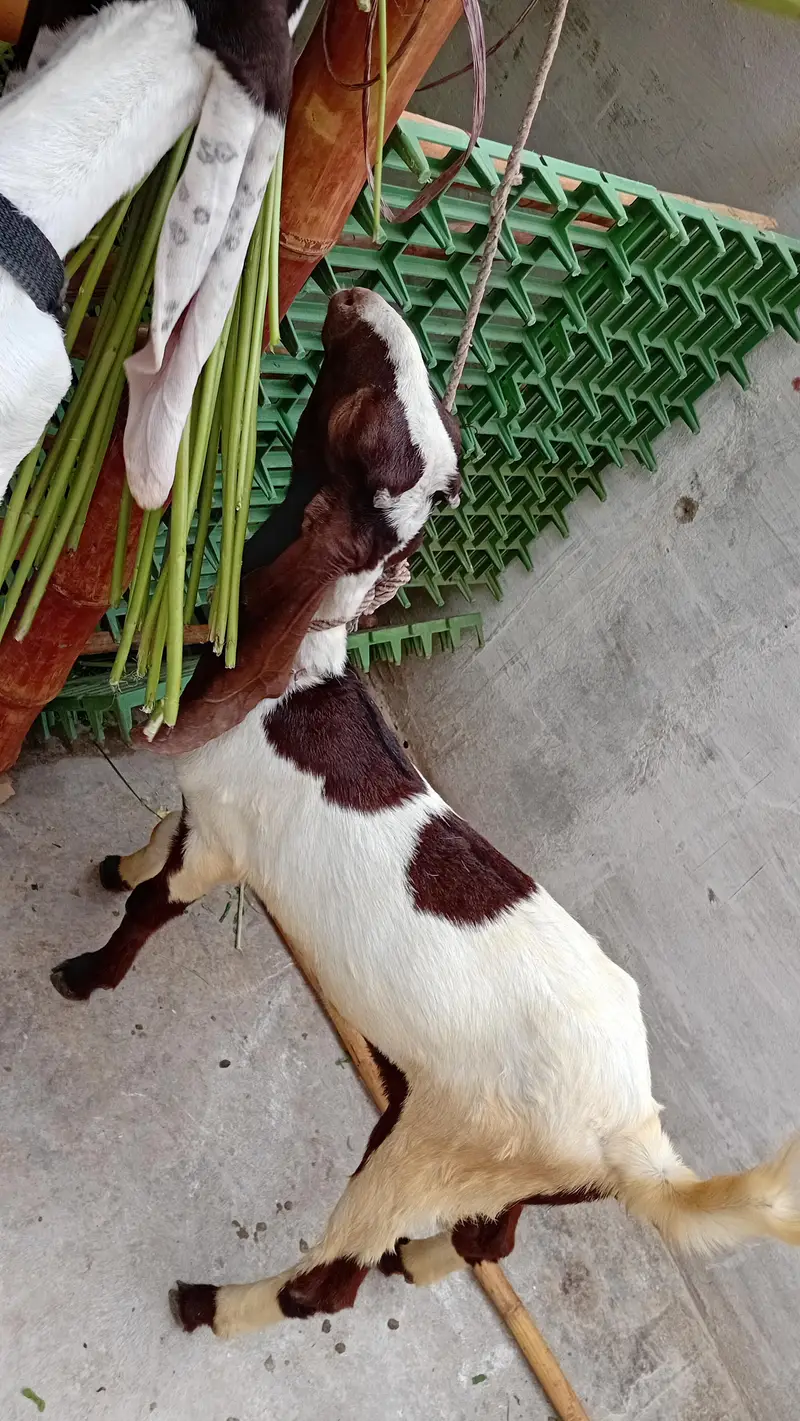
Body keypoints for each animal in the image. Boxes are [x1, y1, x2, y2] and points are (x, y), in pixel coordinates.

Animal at [49, 287, 800, 1341]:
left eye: (371, 436)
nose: (354, 297)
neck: (296, 682)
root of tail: (632, 1138)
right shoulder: (208, 809)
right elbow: (155, 840)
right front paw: (112, 866)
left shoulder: (227, 841)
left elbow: (154, 904)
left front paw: (85, 975)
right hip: (510, 1171)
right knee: (493, 1236)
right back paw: (424, 1257)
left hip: (428, 1146)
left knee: (327, 1284)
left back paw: (212, 1302)